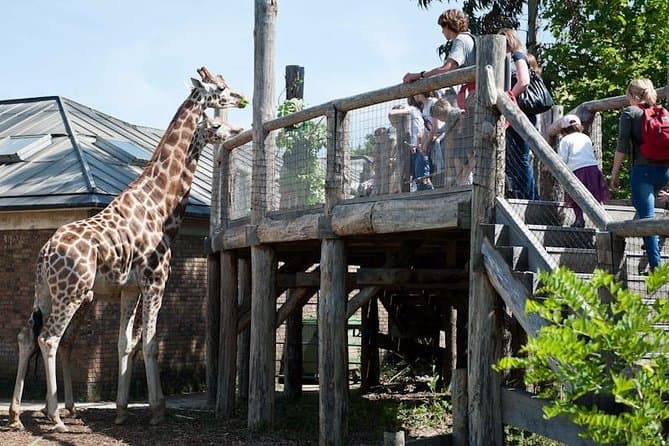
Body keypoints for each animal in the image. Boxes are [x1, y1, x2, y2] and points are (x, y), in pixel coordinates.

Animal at [7, 67, 248, 432]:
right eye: (220, 89)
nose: (242, 100)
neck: (161, 204)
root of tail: (45, 254)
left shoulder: (129, 288)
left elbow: (125, 342)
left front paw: (121, 410)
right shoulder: (155, 280)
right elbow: (149, 342)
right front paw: (158, 410)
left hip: (46, 292)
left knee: (26, 335)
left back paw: (18, 415)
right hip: (72, 293)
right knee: (49, 339)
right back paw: (55, 416)